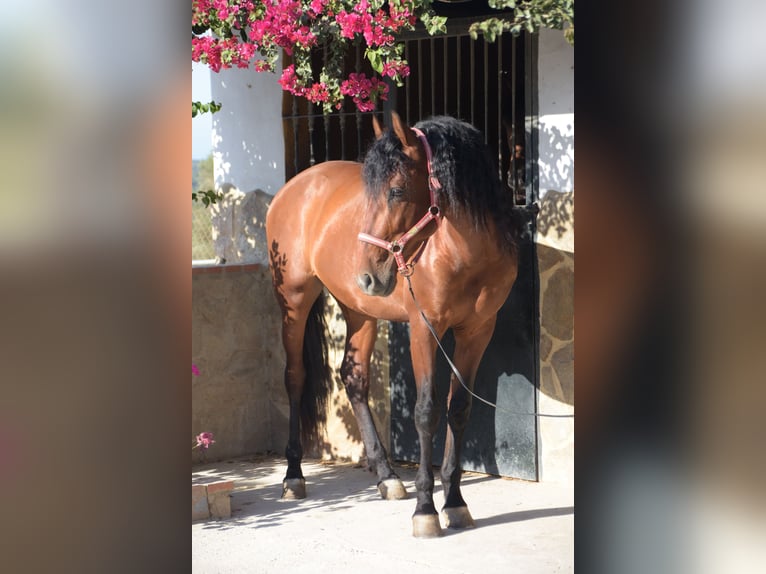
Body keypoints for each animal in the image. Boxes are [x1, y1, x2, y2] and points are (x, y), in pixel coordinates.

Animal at [265, 112, 523, 538]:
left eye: (397, 190)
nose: (369, 275)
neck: (464, 254)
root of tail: (295, 186)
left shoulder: (477, 333)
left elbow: (459, 410)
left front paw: (455, 502)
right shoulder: (424, 329)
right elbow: (426, 412)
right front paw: (426, 510)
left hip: (360, 311)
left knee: (353, 376)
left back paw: (386, 475)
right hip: (294, 300)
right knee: (295, 377)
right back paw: (293, 476)